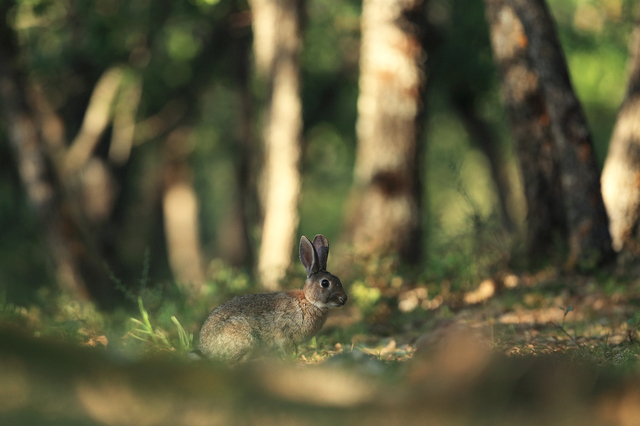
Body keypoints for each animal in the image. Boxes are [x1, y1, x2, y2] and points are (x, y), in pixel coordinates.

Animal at [200, 235, 348, 362]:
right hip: (243, 337)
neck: (309, 301)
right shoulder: (285, 336)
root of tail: (205, 348)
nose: (344, 299)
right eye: (325, 283)